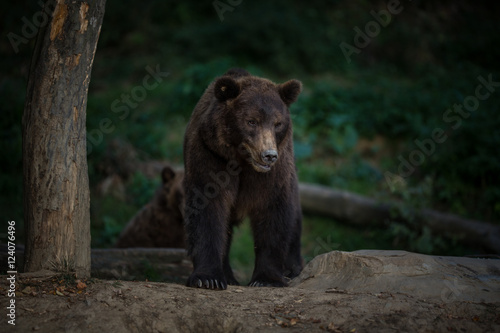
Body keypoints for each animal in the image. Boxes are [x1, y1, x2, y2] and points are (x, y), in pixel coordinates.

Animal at [183, 67, 302, 288]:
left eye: (277, 123)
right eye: (251, 121)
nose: (269, 155)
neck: (243, 163)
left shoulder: (274, 174)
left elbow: (274, 213)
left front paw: (267, 279)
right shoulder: (210, 156)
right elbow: (208, 211)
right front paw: (208, 278)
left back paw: (292, 268)